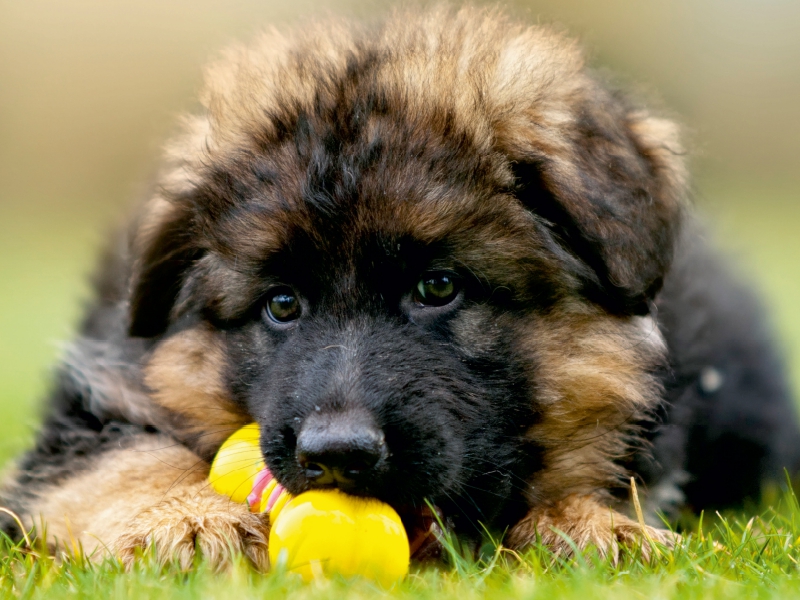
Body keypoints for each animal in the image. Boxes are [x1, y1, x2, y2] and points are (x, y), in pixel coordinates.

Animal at [1, 4, 800, 568]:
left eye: (438, 286)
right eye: (281, 304)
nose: (337, 455)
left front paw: (591, 525)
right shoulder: (89, 401)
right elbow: (121, 457)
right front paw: (185, 518)